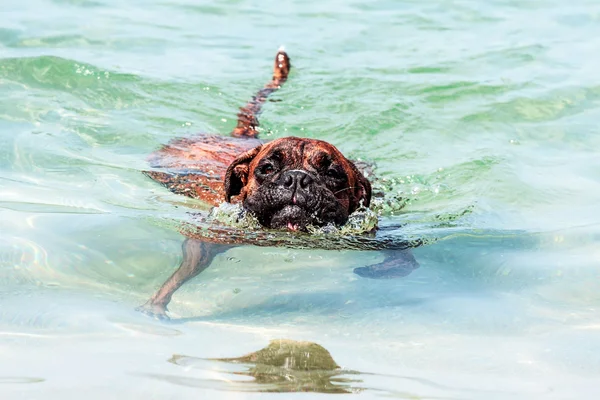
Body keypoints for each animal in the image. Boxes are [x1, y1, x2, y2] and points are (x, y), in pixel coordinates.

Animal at [138, 50, 418, 318]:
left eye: (332, 172)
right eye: (268, 168)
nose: (296, 178)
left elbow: (406, 258)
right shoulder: (207, 237)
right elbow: (183, 271)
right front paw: (157, 303)